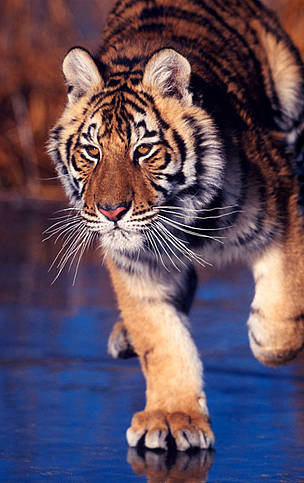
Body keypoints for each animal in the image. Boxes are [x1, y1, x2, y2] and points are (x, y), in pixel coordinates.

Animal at [47, 0, 304, 454]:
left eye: (144, 150)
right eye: (91, 152)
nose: (111, 211)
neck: (182, 217)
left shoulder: (283, 199)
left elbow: (283, 312)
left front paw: (262, 336)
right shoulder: (136, 265)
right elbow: (160, 339)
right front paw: (171, 417)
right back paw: (124, 338)